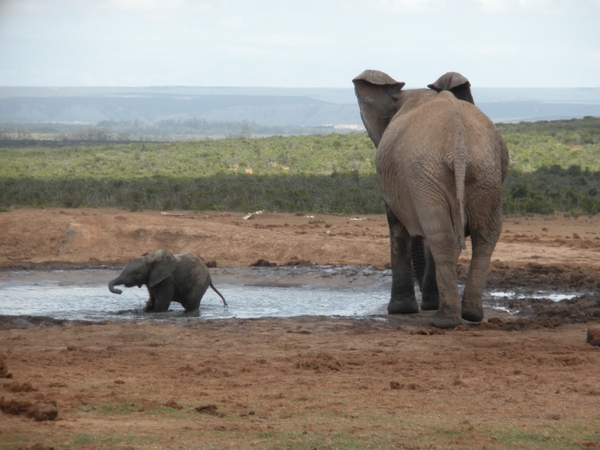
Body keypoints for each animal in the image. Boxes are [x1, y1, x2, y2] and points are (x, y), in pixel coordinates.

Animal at [354, 71, 508, 330]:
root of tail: (458, 146)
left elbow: (398, 228)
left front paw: (401, 310)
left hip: (427, 173)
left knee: (441, 234)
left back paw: (443, 320)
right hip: (483, 171)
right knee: (481, 234)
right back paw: (470, 314)